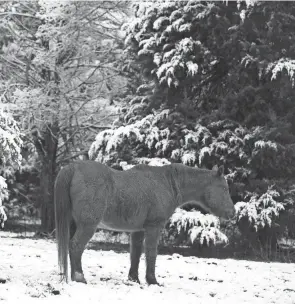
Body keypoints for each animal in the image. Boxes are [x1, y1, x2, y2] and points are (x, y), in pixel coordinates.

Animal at [55, 162, 236, 284]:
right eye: (224, 189)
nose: (232, 213)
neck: (167, 183)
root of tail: (74, 167)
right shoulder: (153, 227)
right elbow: (151, 253)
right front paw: (152, 280)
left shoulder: (138, 230)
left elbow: (135, 254)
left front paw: (134, 279)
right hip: (87, 226)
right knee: (76, 246)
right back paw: (79, 277)